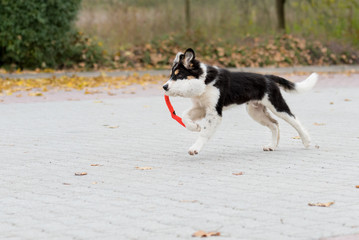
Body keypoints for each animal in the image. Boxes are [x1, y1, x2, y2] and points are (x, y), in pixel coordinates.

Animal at [163, 48, 318, 156]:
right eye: (171, 75)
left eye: (179, 75)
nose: (164, 87)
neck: (205, 80)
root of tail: (268, 77)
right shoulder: (201, 107)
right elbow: (185, 116)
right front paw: (195, 126)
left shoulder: (214, 112)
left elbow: (205, 132)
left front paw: (195, 148)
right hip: (255, 111)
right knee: (274, 124)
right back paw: (272, 146)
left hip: (276, 105)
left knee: (294, 119)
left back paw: (306, 141)